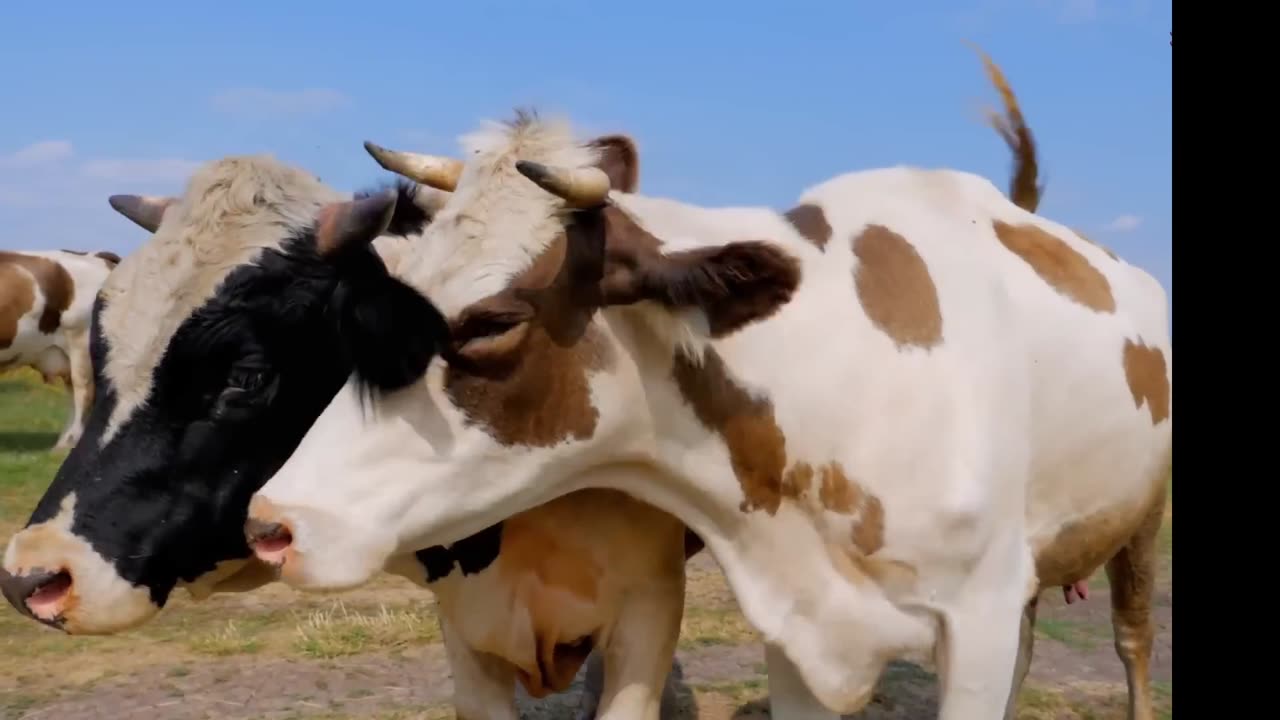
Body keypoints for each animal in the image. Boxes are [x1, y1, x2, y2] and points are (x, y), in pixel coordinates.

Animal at [240, 57, 1172, 717]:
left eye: (491, 322)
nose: (272, 524)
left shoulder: (975, 614)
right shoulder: (798, 631)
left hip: (1139, 521)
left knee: (1131, 641)